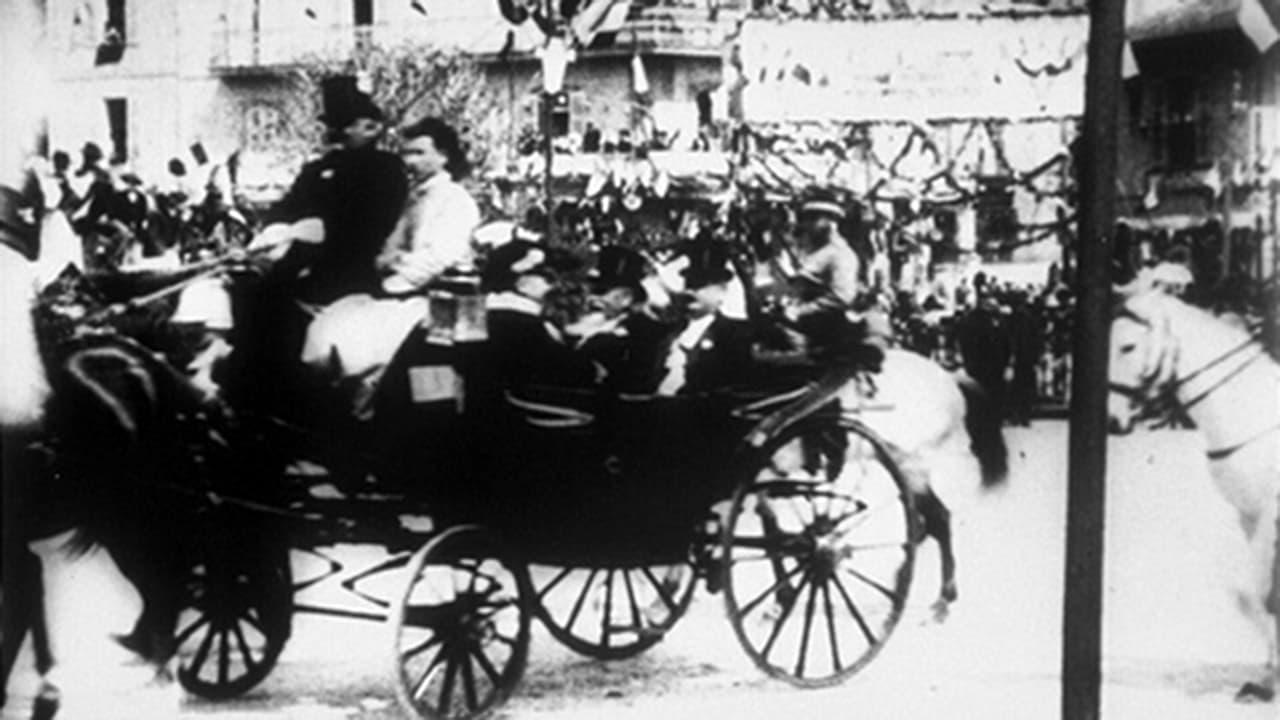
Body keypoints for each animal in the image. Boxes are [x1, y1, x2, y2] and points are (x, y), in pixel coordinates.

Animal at [1105, 286, 1274, 702]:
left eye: (1128, 346)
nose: (1112, 421)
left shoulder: (1268, 514)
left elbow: (1253, 594)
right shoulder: (1248, 516)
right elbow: (1254, 597)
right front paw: (1264, 682)